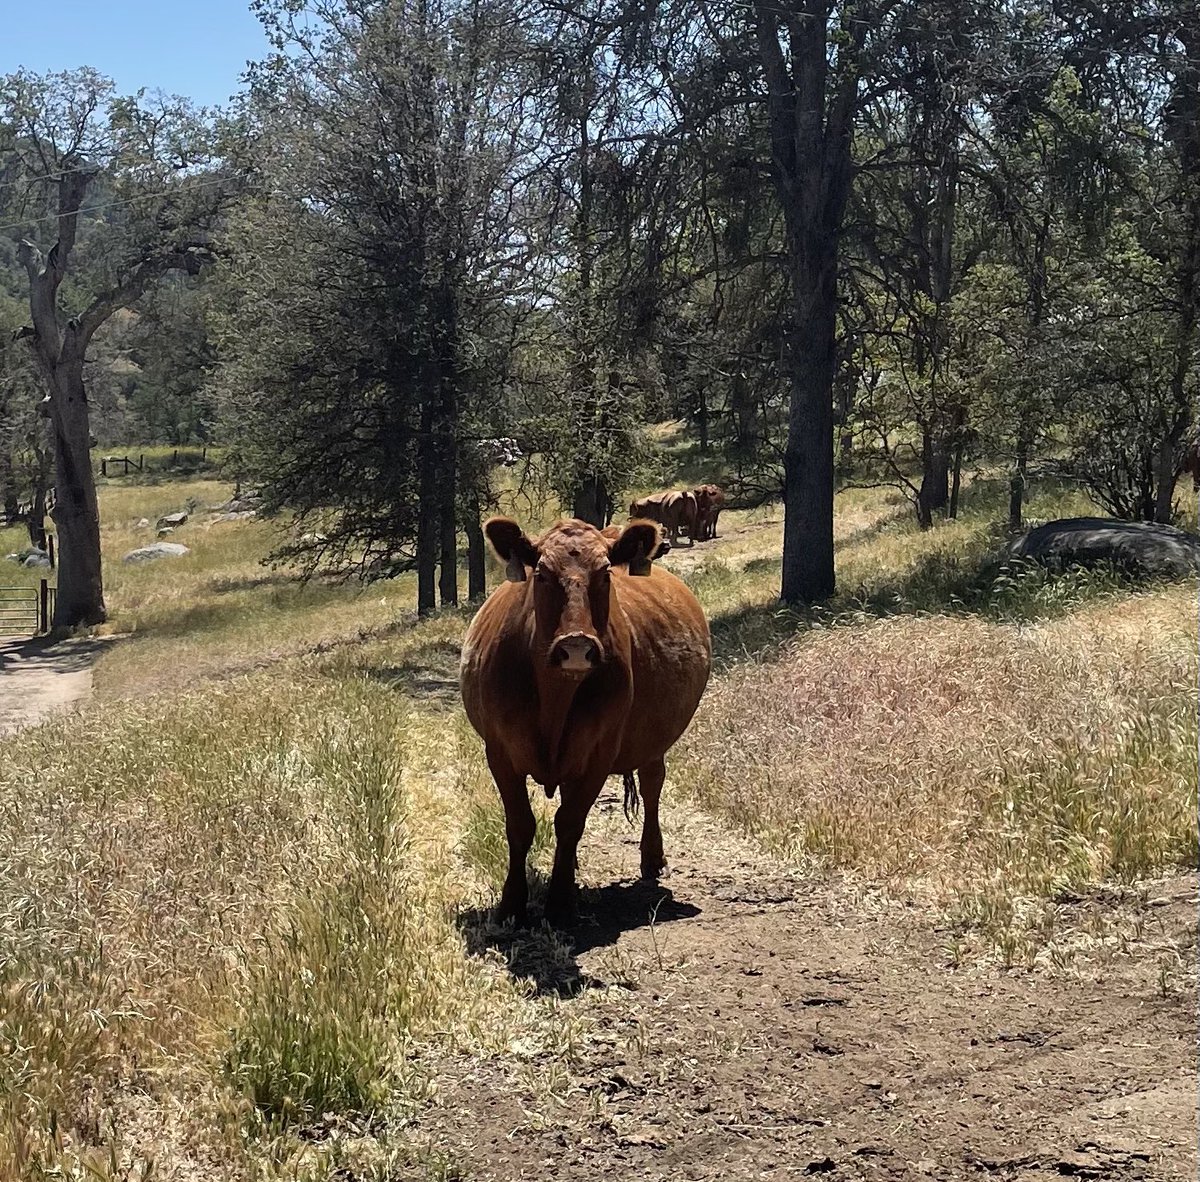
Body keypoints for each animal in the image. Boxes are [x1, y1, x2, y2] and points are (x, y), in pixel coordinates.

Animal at [459, 516, 711, 926]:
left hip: (653, 739)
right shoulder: (498, 751)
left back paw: (652, 857)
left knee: (652, 784)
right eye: (541, 574)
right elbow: (520, 824)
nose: (576, 645)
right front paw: (511, 903)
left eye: (605, 572)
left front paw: (561, 904)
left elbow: (570, 821)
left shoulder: (599, 753)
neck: (554, 699)